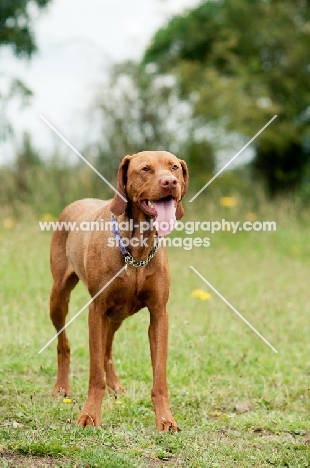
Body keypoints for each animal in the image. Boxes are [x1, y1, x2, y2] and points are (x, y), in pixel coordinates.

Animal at [49, 151, 188, 432]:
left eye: (174, 167)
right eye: (145, 169)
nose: (169, 182)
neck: (138, 247)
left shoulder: (159, 314)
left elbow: (159, 377)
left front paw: (165, 419)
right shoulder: (96, 310)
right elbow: (94, 375)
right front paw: (89, 415)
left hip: (117, 316)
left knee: (107, 350)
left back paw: (115, 386)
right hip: (59, 298)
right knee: (64, 343)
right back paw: (61, 387)